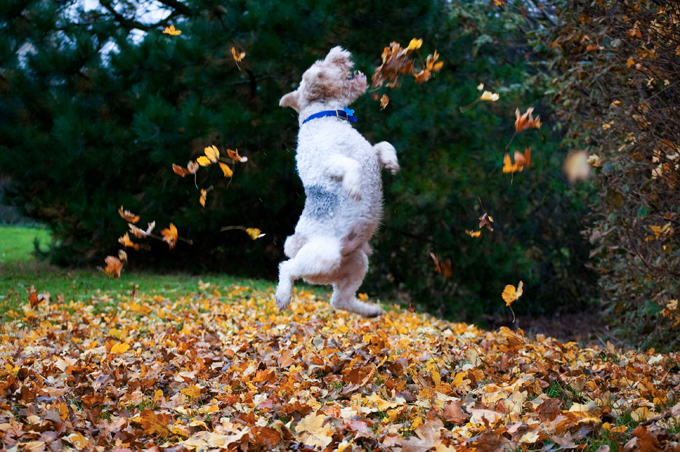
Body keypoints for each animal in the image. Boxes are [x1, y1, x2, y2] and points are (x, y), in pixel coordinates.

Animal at [274, 46, 398, 318]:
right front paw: (354, 188)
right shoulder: (329, 162)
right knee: (286, 267)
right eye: (320, 65)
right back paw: (282, 297)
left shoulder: (370, 154)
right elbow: (352, 167)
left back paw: (371, 311)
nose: (339, 51)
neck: (325, 116)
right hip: (322, 258)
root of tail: (299, 243)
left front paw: (392, 163)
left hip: (355, 264)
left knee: (339, 300)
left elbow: (384, 146)